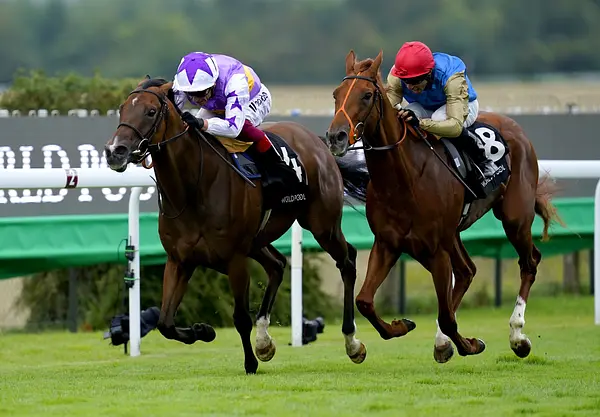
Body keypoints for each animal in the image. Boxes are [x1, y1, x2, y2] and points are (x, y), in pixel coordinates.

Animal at [103, 77, 368, 374]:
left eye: (150, 112)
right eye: (122, 109)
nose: (115, 151)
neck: (194, 188)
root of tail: (320, 144)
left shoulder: (235, 259)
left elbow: (240, 317)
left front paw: (250, 362)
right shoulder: (179, 260)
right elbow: (165, 323)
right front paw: (204, 331)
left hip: (322, 225)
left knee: (347, 261)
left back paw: (352, 342)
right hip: (258, 241)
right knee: (278, 265)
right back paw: (264, 340)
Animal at [324, 50, 563, 363]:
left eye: (366, 95)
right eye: (336, 94)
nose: (336, 137)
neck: (403, 179)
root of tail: (515, 127)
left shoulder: (435, 249)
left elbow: (448, 317)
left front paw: (470, 344)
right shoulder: (388, 243)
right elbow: (364, 301)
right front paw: (397, 328)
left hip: (514, 218)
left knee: (529, 262)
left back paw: (517, 336)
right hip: (452, 234)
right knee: (467, 271)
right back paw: (443, 342)